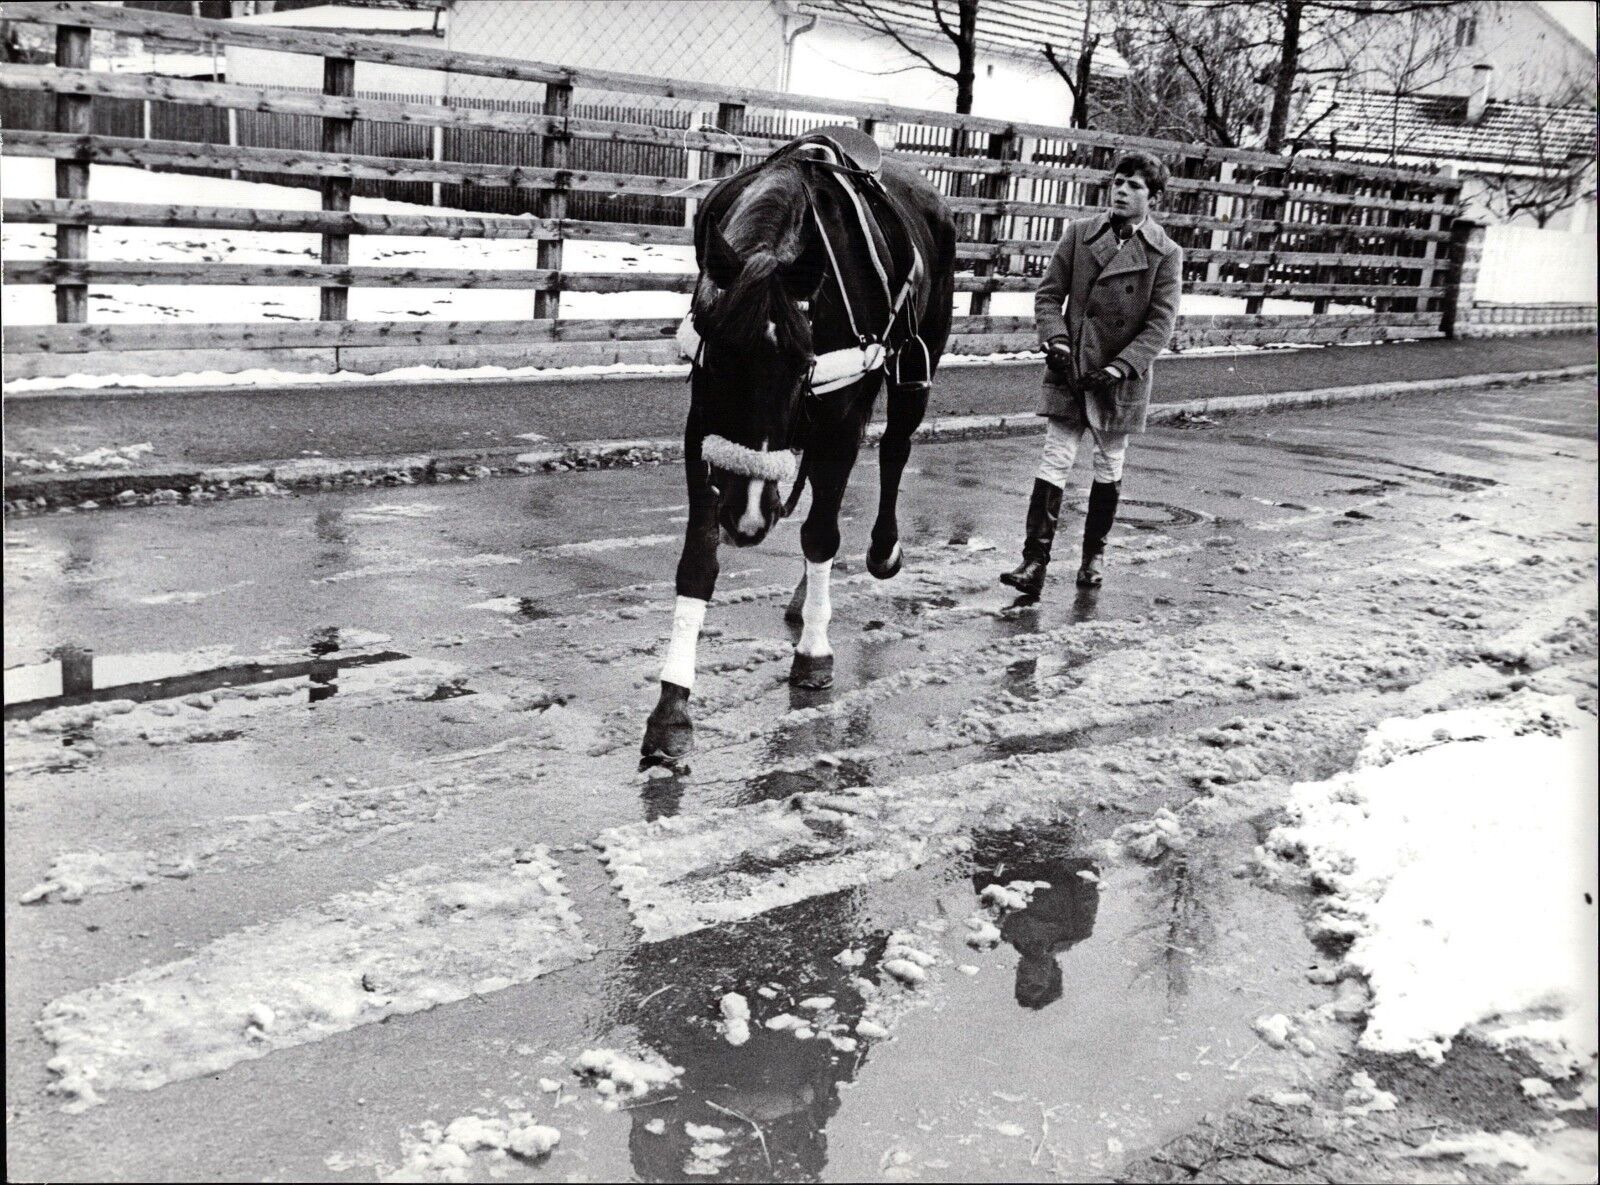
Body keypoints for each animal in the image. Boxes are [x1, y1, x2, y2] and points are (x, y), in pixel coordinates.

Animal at [640, 127, 960, 758]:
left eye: (801, 361)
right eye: (717, 358)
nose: (747, 520)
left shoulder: (839, 413)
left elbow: (820, 532)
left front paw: (814, 652)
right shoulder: (701, 429)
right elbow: (698, 560)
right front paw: (673, 702)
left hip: (914, 368)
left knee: (894, 452)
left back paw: (879, 553)